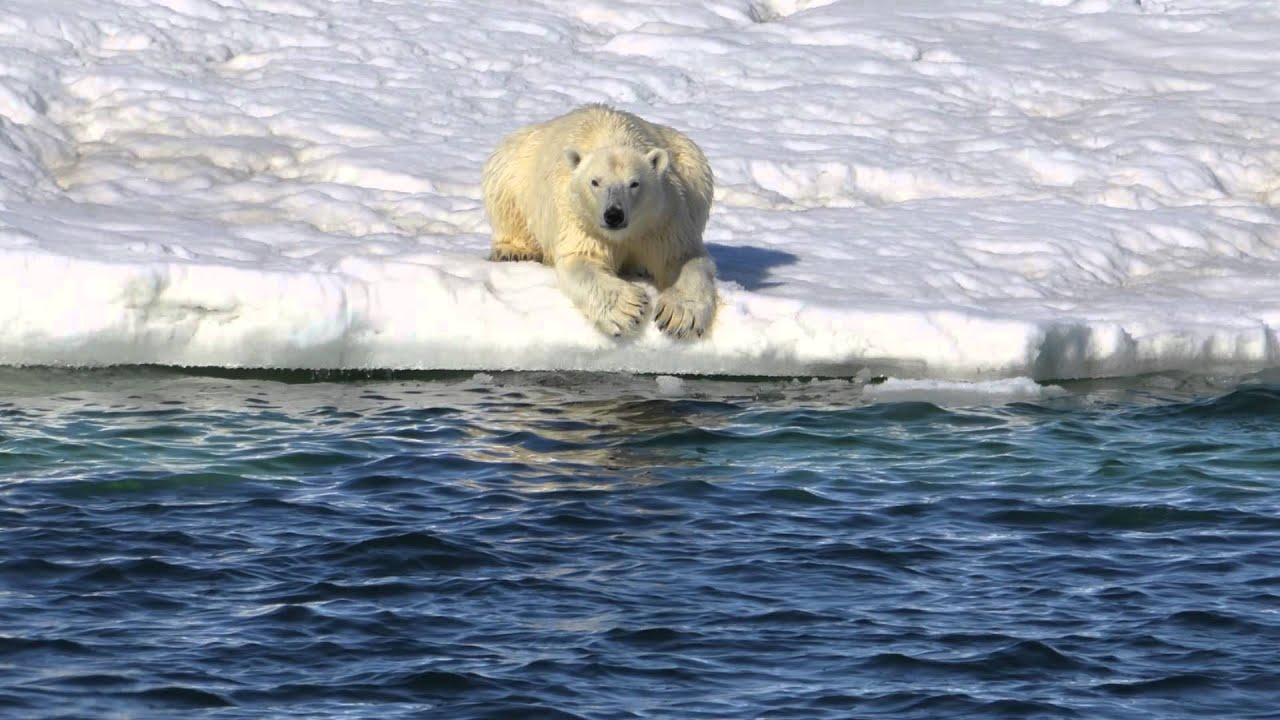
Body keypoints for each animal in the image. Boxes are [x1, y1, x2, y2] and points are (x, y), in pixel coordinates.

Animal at [482, 104, 717, 339]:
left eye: (634, 183)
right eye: (595, 182)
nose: (613, 215)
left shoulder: (661, 220)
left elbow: (682, 257)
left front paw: (679, 315)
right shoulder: (580, 221)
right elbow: (583, 259)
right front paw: (627, 308)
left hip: (691, 162)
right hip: (516, 165)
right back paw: (513, 251)